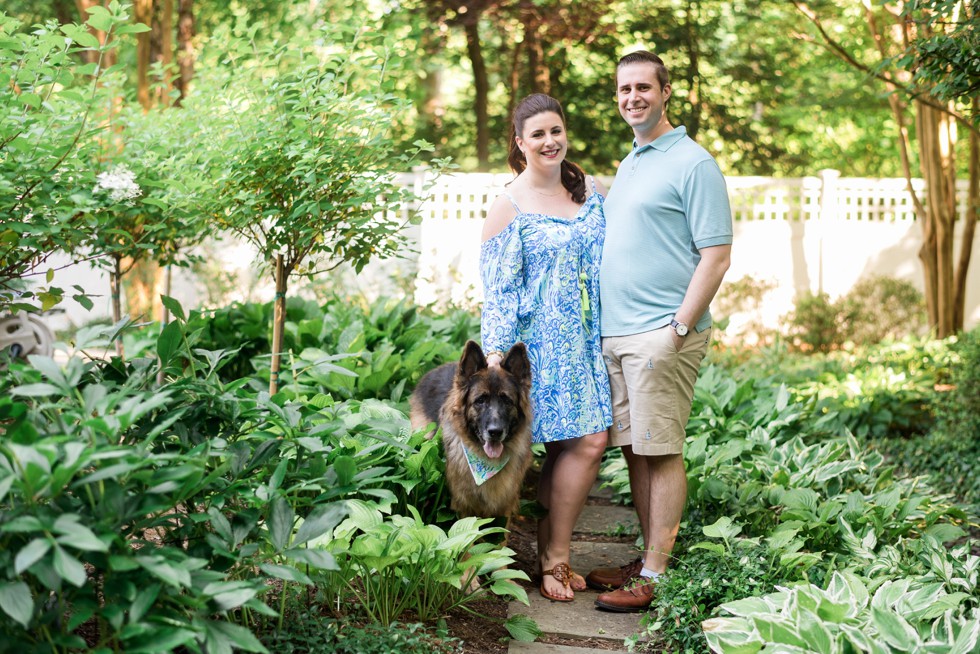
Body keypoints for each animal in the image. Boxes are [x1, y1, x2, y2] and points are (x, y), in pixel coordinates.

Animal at [408, 340, 532, 520]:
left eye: (507, 401)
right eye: (480, 400)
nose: (495, 432)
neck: (486, 463)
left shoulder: (504, 508)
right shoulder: (465, 507)